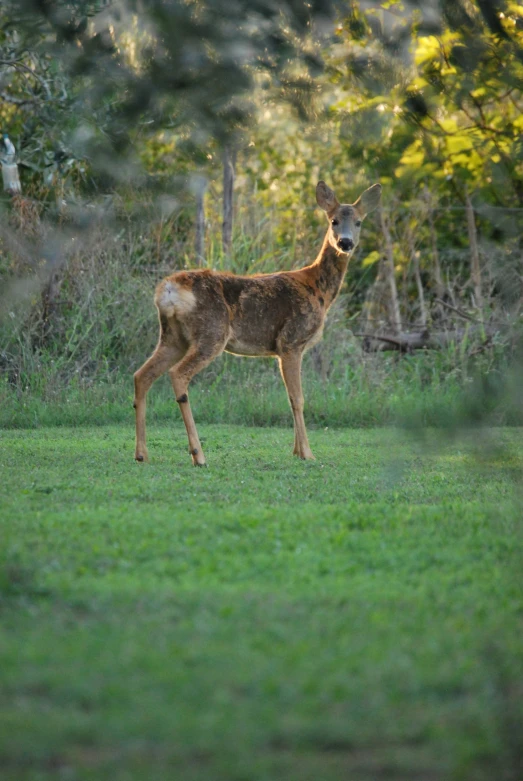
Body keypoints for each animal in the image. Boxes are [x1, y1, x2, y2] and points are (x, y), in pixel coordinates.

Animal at [133, 178, 382, 464]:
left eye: (359, 222)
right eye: (333, 220)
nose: (345, 243)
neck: (318, 289)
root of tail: (168, 290)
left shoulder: (281, 350)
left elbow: (289, 397)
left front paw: (295, 450)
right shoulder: (291, 341)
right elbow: (298, 398)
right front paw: (307, 453)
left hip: (173, 337)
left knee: (142, 375)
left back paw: (141, 453)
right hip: (211, 332)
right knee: (177, 374)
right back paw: (198, 454)